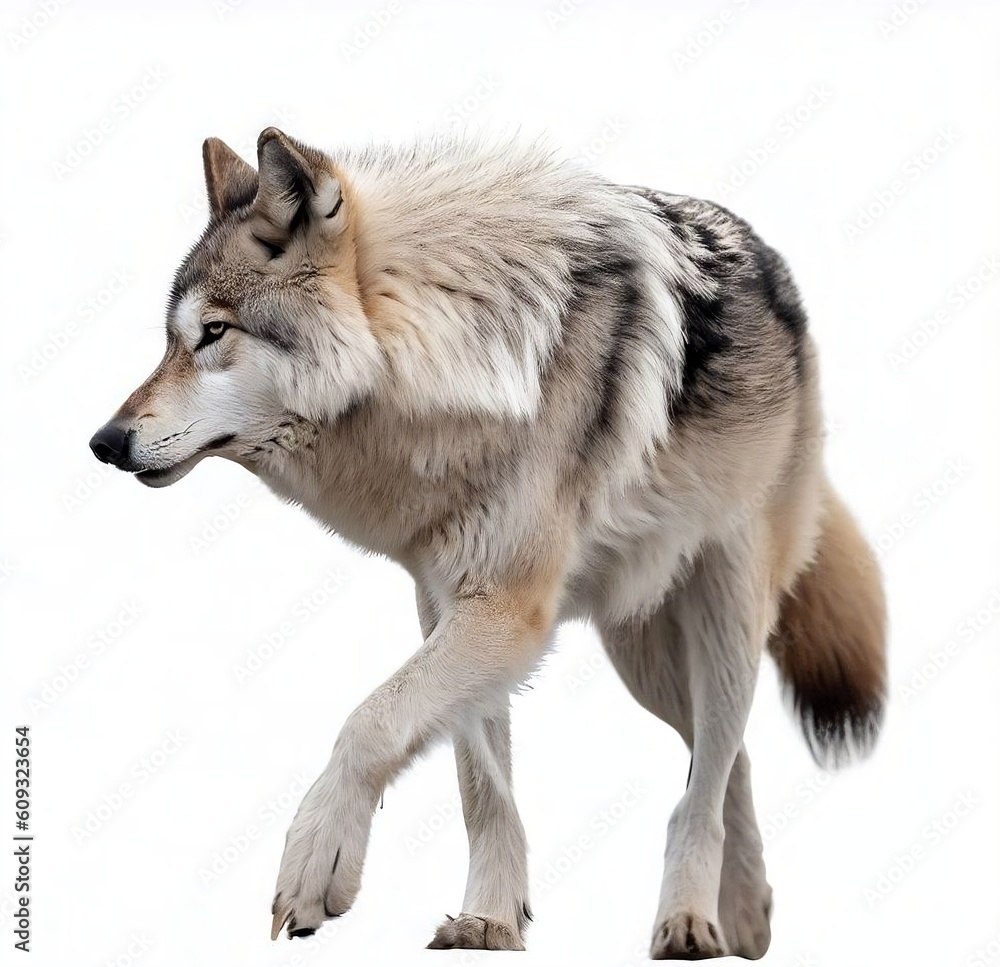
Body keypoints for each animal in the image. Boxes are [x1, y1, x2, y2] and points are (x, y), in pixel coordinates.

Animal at [89, 128, 886, 959]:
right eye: (171, 343)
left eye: (214, 333)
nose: (105, 442)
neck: (457, 351)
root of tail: (775, 268)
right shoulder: (448, 602)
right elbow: (479, 782)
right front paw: (493, 921)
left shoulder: (506, 610)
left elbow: (369, 722)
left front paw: (316, 863)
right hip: (646, 658)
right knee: (726, 754)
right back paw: (748, 915)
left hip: (724, 612)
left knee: (712, 765)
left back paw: (691, 922)